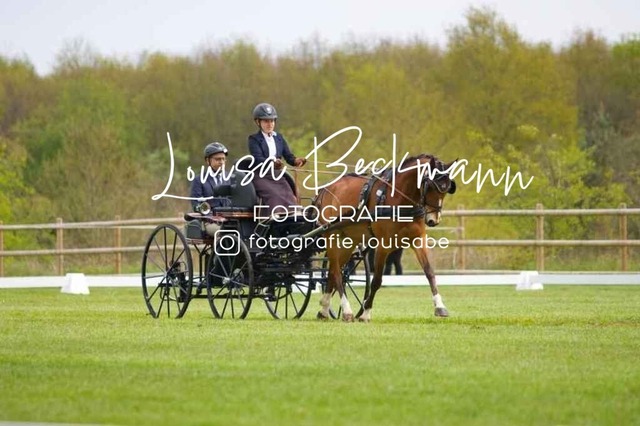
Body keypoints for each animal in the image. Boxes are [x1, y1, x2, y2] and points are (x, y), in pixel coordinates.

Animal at [313, 154, 457, 322]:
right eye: (431, 186)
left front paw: (440, 307)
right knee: (336, 272)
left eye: (446, 189)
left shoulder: (418, 240)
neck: (399, 199)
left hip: (348, 241)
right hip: (331, 236)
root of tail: (325, 189)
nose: (434, 220)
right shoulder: (383, 245)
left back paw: (324, 309)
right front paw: (366, 313)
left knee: (333, 273)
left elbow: (430, 273)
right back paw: (347, 311)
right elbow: (376, 280)